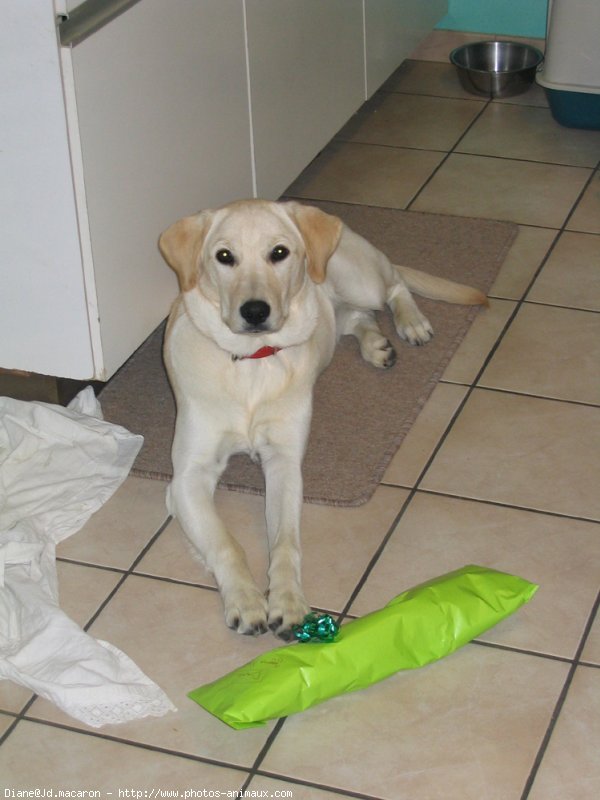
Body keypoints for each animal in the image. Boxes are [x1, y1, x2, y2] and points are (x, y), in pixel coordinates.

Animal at [159, 200, 488, 636]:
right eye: (224, 256)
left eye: (279, 252)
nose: (255, 311)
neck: (252, 363)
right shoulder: (188, 477)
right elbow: (227, 544)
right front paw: (246, 601)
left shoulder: (284, 461)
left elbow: (285, 542)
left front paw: (287, 601)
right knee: (357, 319)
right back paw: (376, 345)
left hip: (358, 277)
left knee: (394, 285)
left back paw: (411, 323)